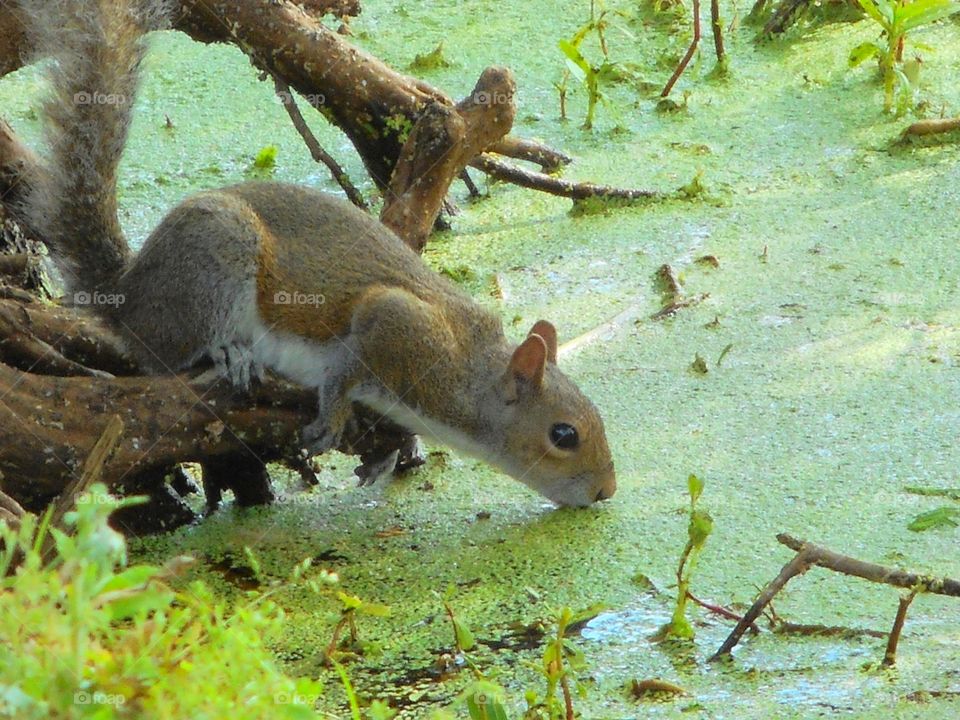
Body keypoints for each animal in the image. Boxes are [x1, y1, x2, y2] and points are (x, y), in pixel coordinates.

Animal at [18, 0, 616, 507]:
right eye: (563, 434)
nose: (606, 491)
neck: (467, 373)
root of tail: (128, 294)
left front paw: (391, 452)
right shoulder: (396, 325)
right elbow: (347, 365)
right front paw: (335, 414)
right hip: (216, 261)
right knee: (163, 355)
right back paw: (226, 355)